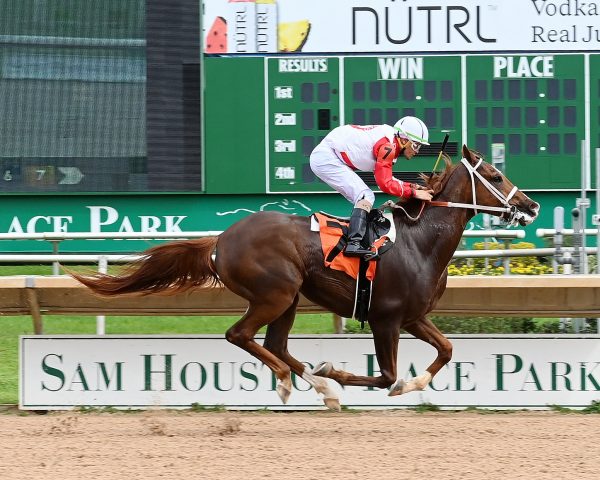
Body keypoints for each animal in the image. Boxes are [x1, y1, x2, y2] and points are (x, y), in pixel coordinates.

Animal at [70, 145, 540, 408]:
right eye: (496, 176)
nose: (532, 206)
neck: (418, 241)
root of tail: (221, 239)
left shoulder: (413, 316)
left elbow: (446, 350)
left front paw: (413, 383)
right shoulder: (386, 319)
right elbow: (386, 375)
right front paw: (343, 374)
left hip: (290, 297)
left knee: (275, 343)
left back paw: (317, 386)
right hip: (275, 294)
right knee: (241, 336)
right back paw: (292, 381)